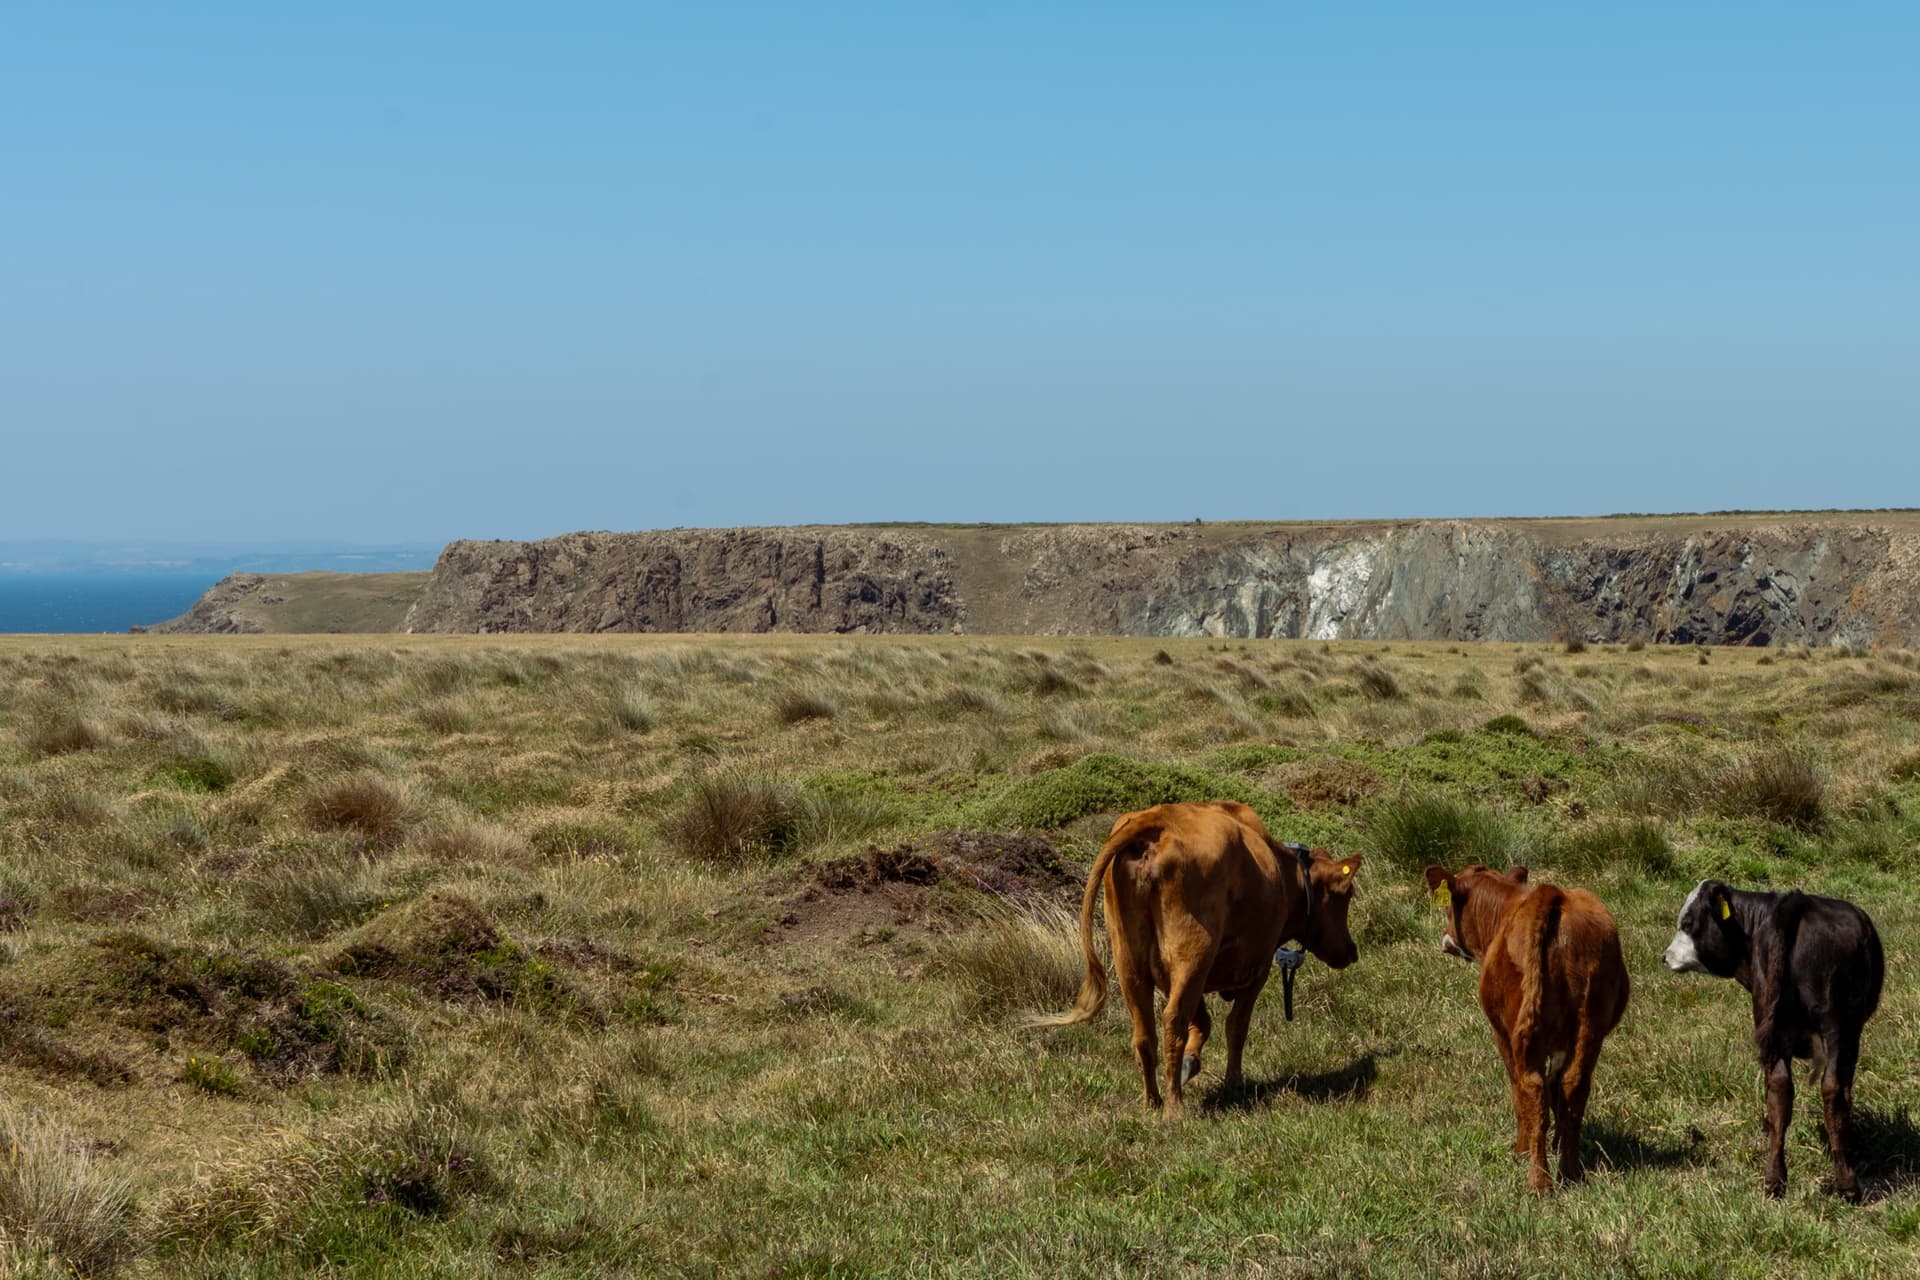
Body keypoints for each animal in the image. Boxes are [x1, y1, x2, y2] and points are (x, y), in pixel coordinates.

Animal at [1032, 801, 1362, 1118]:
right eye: (1347, 894)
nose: (1352, 950)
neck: (1282, 872)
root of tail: (1159, 818)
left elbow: (1203, 1022)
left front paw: (1191, 1064)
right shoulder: (1258, 966)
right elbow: (1235, 1026)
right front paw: (1233, 1084)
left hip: (1129, 958)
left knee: (1144, 1033)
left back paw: (1152, 1101)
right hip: (1192, 950)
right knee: (1173, 1020)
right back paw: (1173, 1109)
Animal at [1424, 864, 1629, 1193]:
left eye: (1448, 909)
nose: (1446, 937)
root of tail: (1553, 896)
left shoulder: (1501, 1033)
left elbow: (1519, 1091)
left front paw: (1521, 1150)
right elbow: (1557, 1093)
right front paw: (1558, 1145)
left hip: (1522, 1033)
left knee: (1531, 1089)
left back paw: (1539, 1181)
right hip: (1590, 1025)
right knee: (1573, 1086)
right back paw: (1570, 1173)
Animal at [1663, 880, 1884, 1201]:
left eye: (1688, 923)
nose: (1665, 957)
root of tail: (1798, 904)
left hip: (1775, 1023)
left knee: (1779, 1089)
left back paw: (1774, 1180)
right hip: (1838, 1026)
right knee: (1832, 1089)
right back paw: (1847, 1184)